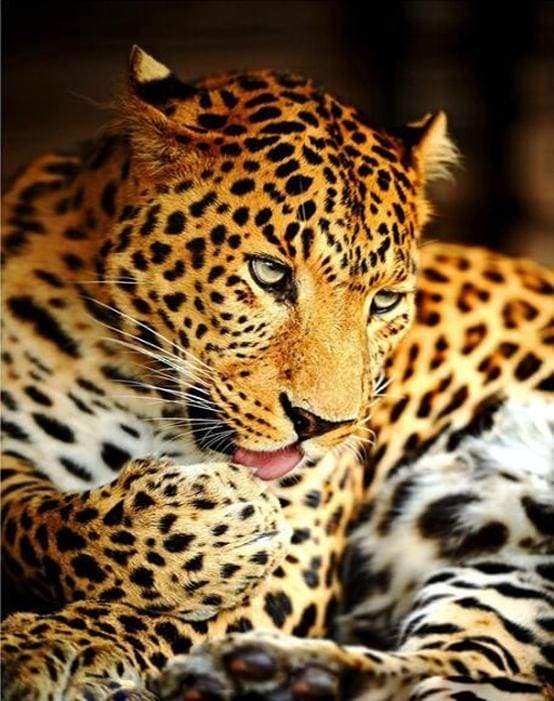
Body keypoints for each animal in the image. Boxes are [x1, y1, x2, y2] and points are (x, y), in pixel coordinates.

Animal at [1, 46, 552, 700]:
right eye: (269, 273)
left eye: (385, 302)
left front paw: (59, 645)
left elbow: (155, 618)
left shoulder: (301, 551)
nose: (322, 426)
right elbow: (34, 521)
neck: (133, 386)